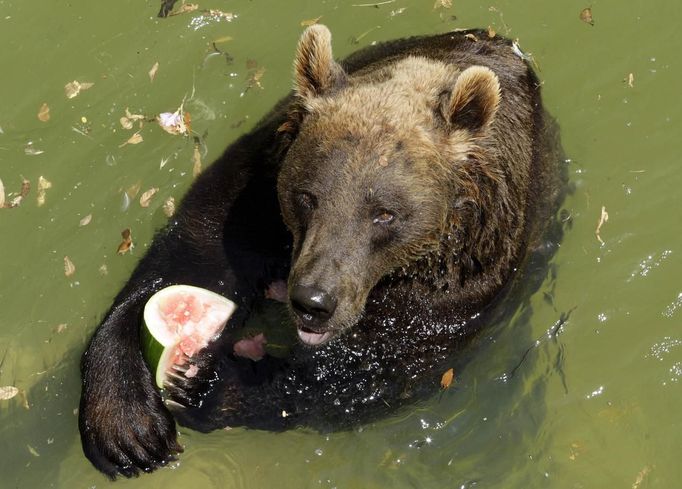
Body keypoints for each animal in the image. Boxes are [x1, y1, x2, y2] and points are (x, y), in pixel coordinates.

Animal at [77, 24, 564, 478]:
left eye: (384, 214)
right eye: (307, 196)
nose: (313, 301)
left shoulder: (468, 274)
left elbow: (379, 366)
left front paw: (207, 383)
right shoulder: (257, 192)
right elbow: (192, 257)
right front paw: (129, 426)